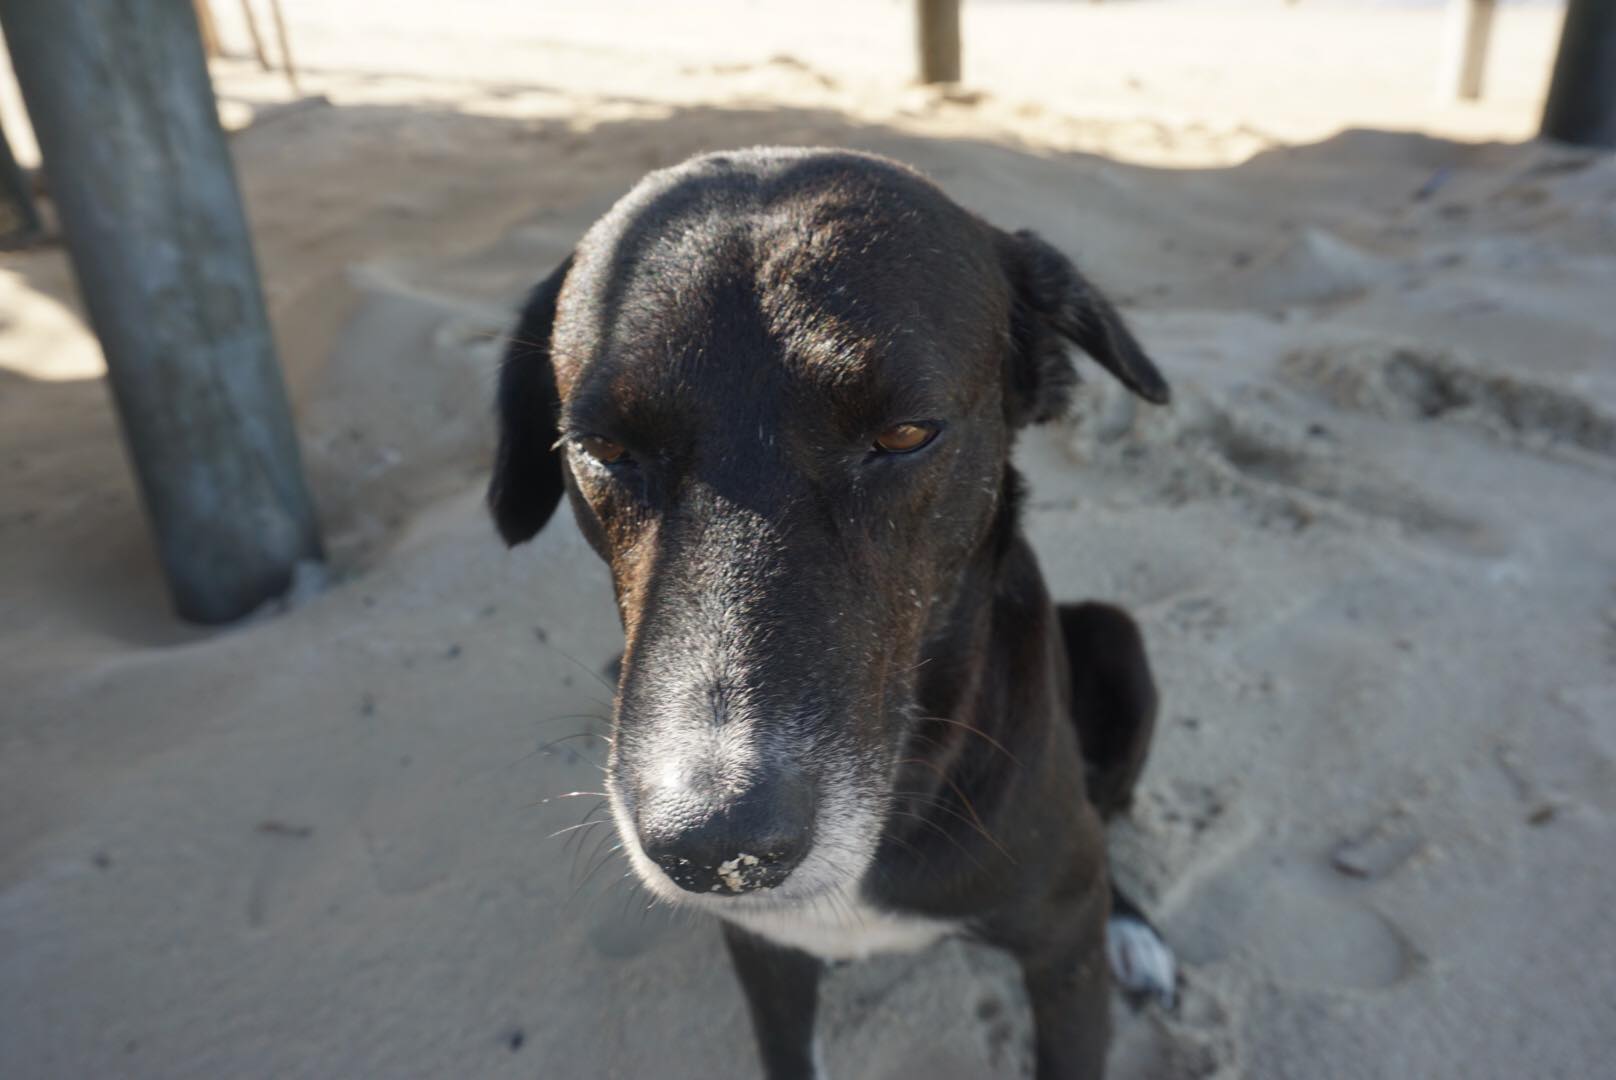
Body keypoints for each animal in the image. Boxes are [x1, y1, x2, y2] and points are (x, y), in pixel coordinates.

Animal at [488, 147, 1176, 1073]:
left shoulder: (1063, 953)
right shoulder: (764, 953)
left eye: (907, 433)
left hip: (1118, 645)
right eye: (599, 447)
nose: (715, 849)